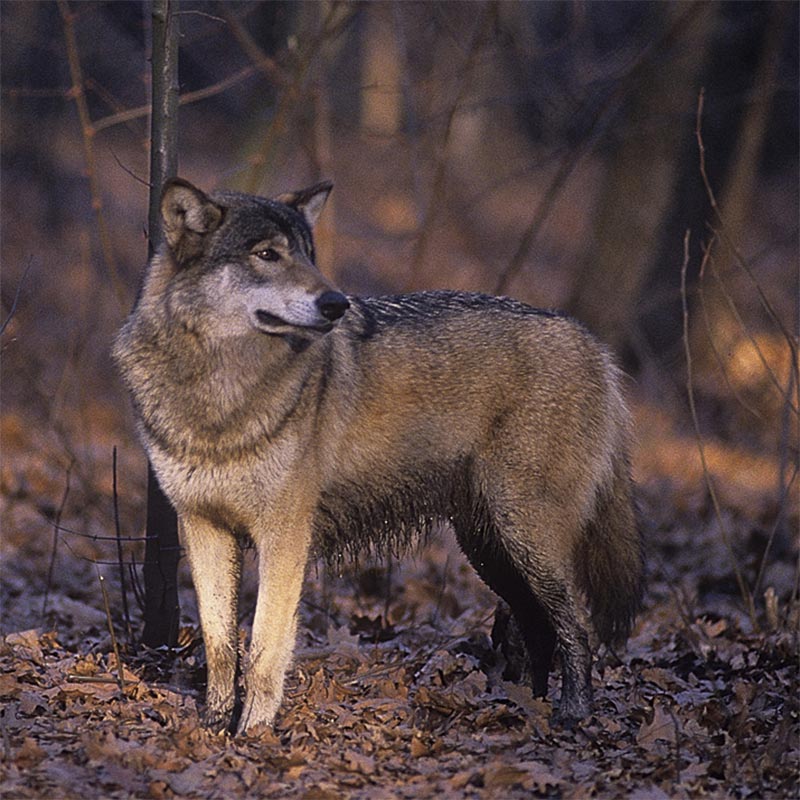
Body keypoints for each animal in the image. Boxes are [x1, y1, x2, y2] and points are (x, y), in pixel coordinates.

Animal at [113, 177, 644, 736]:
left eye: (309, 254)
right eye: (267, 254)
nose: (336, 303)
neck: (219, 392)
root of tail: (593, 345)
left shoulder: (284, 536)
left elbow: (261, 650)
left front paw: (253, 735)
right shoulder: (203, 527)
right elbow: (219, 646)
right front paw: (213, 731)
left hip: (525, 536)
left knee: (577, 626)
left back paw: (572, 715)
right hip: (490, 546)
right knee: (539, 627)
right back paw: (525, 708)